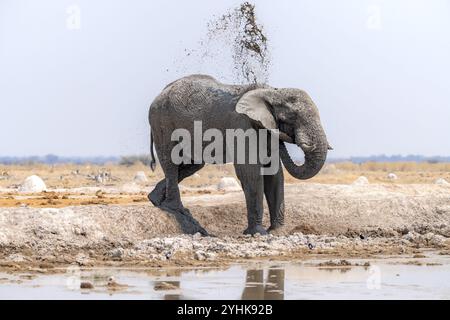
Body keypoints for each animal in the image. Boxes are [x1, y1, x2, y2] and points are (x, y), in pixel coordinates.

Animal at [147, 74, 330, 235]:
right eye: (291, 117)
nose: (283, 137)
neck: (271, 92)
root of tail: (160, 93)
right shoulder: (241, 125)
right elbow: (251, 173)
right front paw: (258, 233)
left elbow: (274, 175)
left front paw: (277, 231)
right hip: (162, 122)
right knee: (170, 160)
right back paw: (175, 209)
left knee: (192, 164)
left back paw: (155, 199)